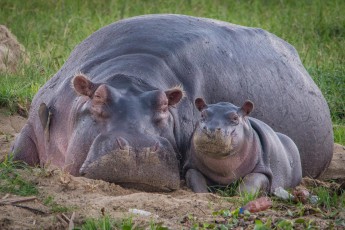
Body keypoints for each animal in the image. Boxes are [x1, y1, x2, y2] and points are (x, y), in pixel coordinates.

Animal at [12, 14, 332, 190]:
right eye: (98, 98)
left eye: (165, 105)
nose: (139, 148)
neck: (132, 74)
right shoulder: (33, 125)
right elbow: (17, 155)